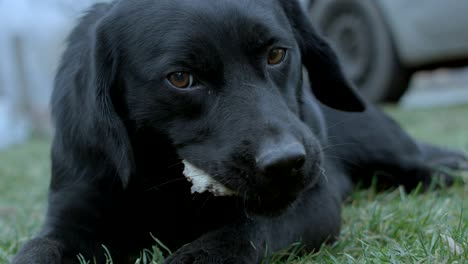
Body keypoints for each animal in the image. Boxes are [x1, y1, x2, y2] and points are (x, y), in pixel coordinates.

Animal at [12, 0, 466, 264]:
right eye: (181, 78)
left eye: (277, 53)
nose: (286, 163)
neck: (166, 182)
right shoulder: (73, 215)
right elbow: (38, 248)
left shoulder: (313, 202)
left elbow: (241, 232)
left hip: (380, 144)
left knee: (419, 163)